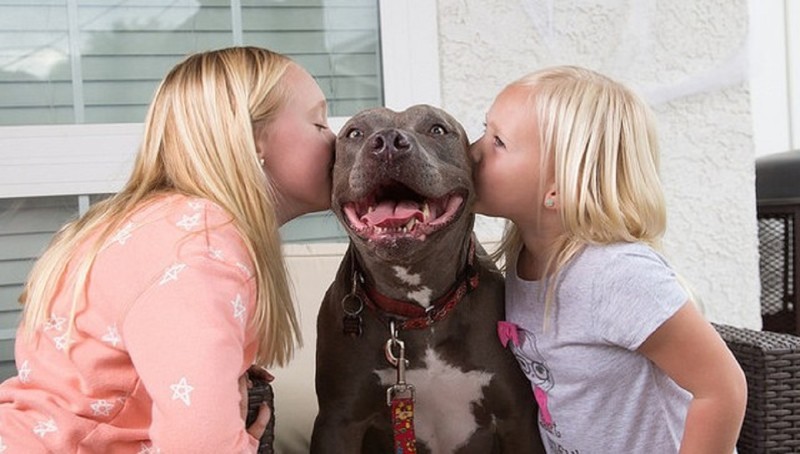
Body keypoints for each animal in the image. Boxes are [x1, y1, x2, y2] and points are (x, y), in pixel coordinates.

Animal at [310, 104, 544, 452]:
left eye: (437, 129)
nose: (388, 142)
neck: (420, 311)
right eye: (354, 132)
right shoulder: (338, 422)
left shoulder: (518, 420)